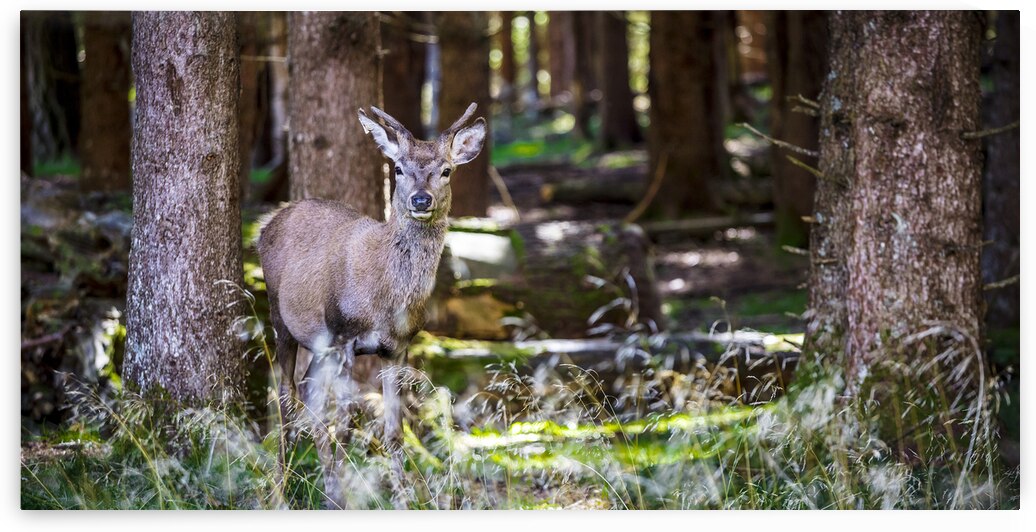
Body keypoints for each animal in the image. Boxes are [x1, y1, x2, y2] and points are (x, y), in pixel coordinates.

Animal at [256, 103, 486, 508]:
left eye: (446, 170)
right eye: (398, 169)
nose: (421, 200)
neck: (385, 302)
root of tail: (266, 223)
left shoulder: (397, 348)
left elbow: (393, 429)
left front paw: (403, 499)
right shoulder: (344, 335)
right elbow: (346, 425)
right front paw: (347, 495)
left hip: (321, 347)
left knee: (310, 396)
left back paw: (320, 485)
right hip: (282, 319)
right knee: (286, 397)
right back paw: (282, 489)